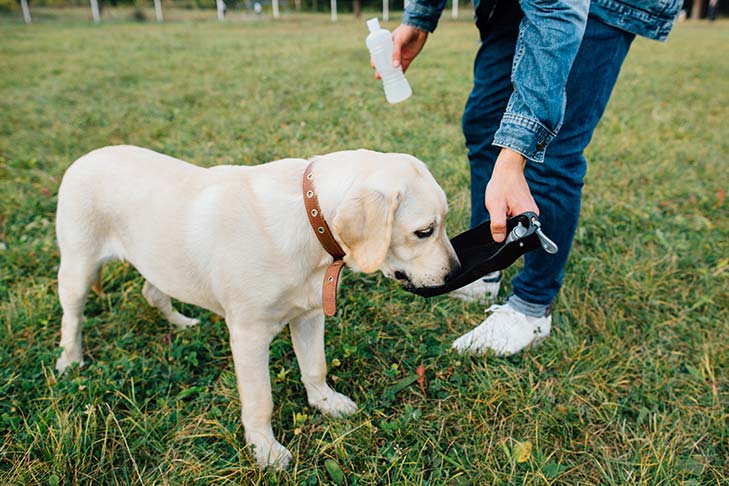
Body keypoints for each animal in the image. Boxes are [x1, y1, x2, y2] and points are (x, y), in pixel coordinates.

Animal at [54, 146, 458, 468]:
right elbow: (260, 400)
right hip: (77, 268)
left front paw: (325, 402)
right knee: (72, 319)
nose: (456, 273)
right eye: (424, 231)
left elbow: (315, 366)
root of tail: (88, 156)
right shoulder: (249, 336)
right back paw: (70, 362)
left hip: (159, 261)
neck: (310, 219)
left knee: (153, 293)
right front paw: (265, 450)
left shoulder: (309, 316)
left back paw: (181, 322)